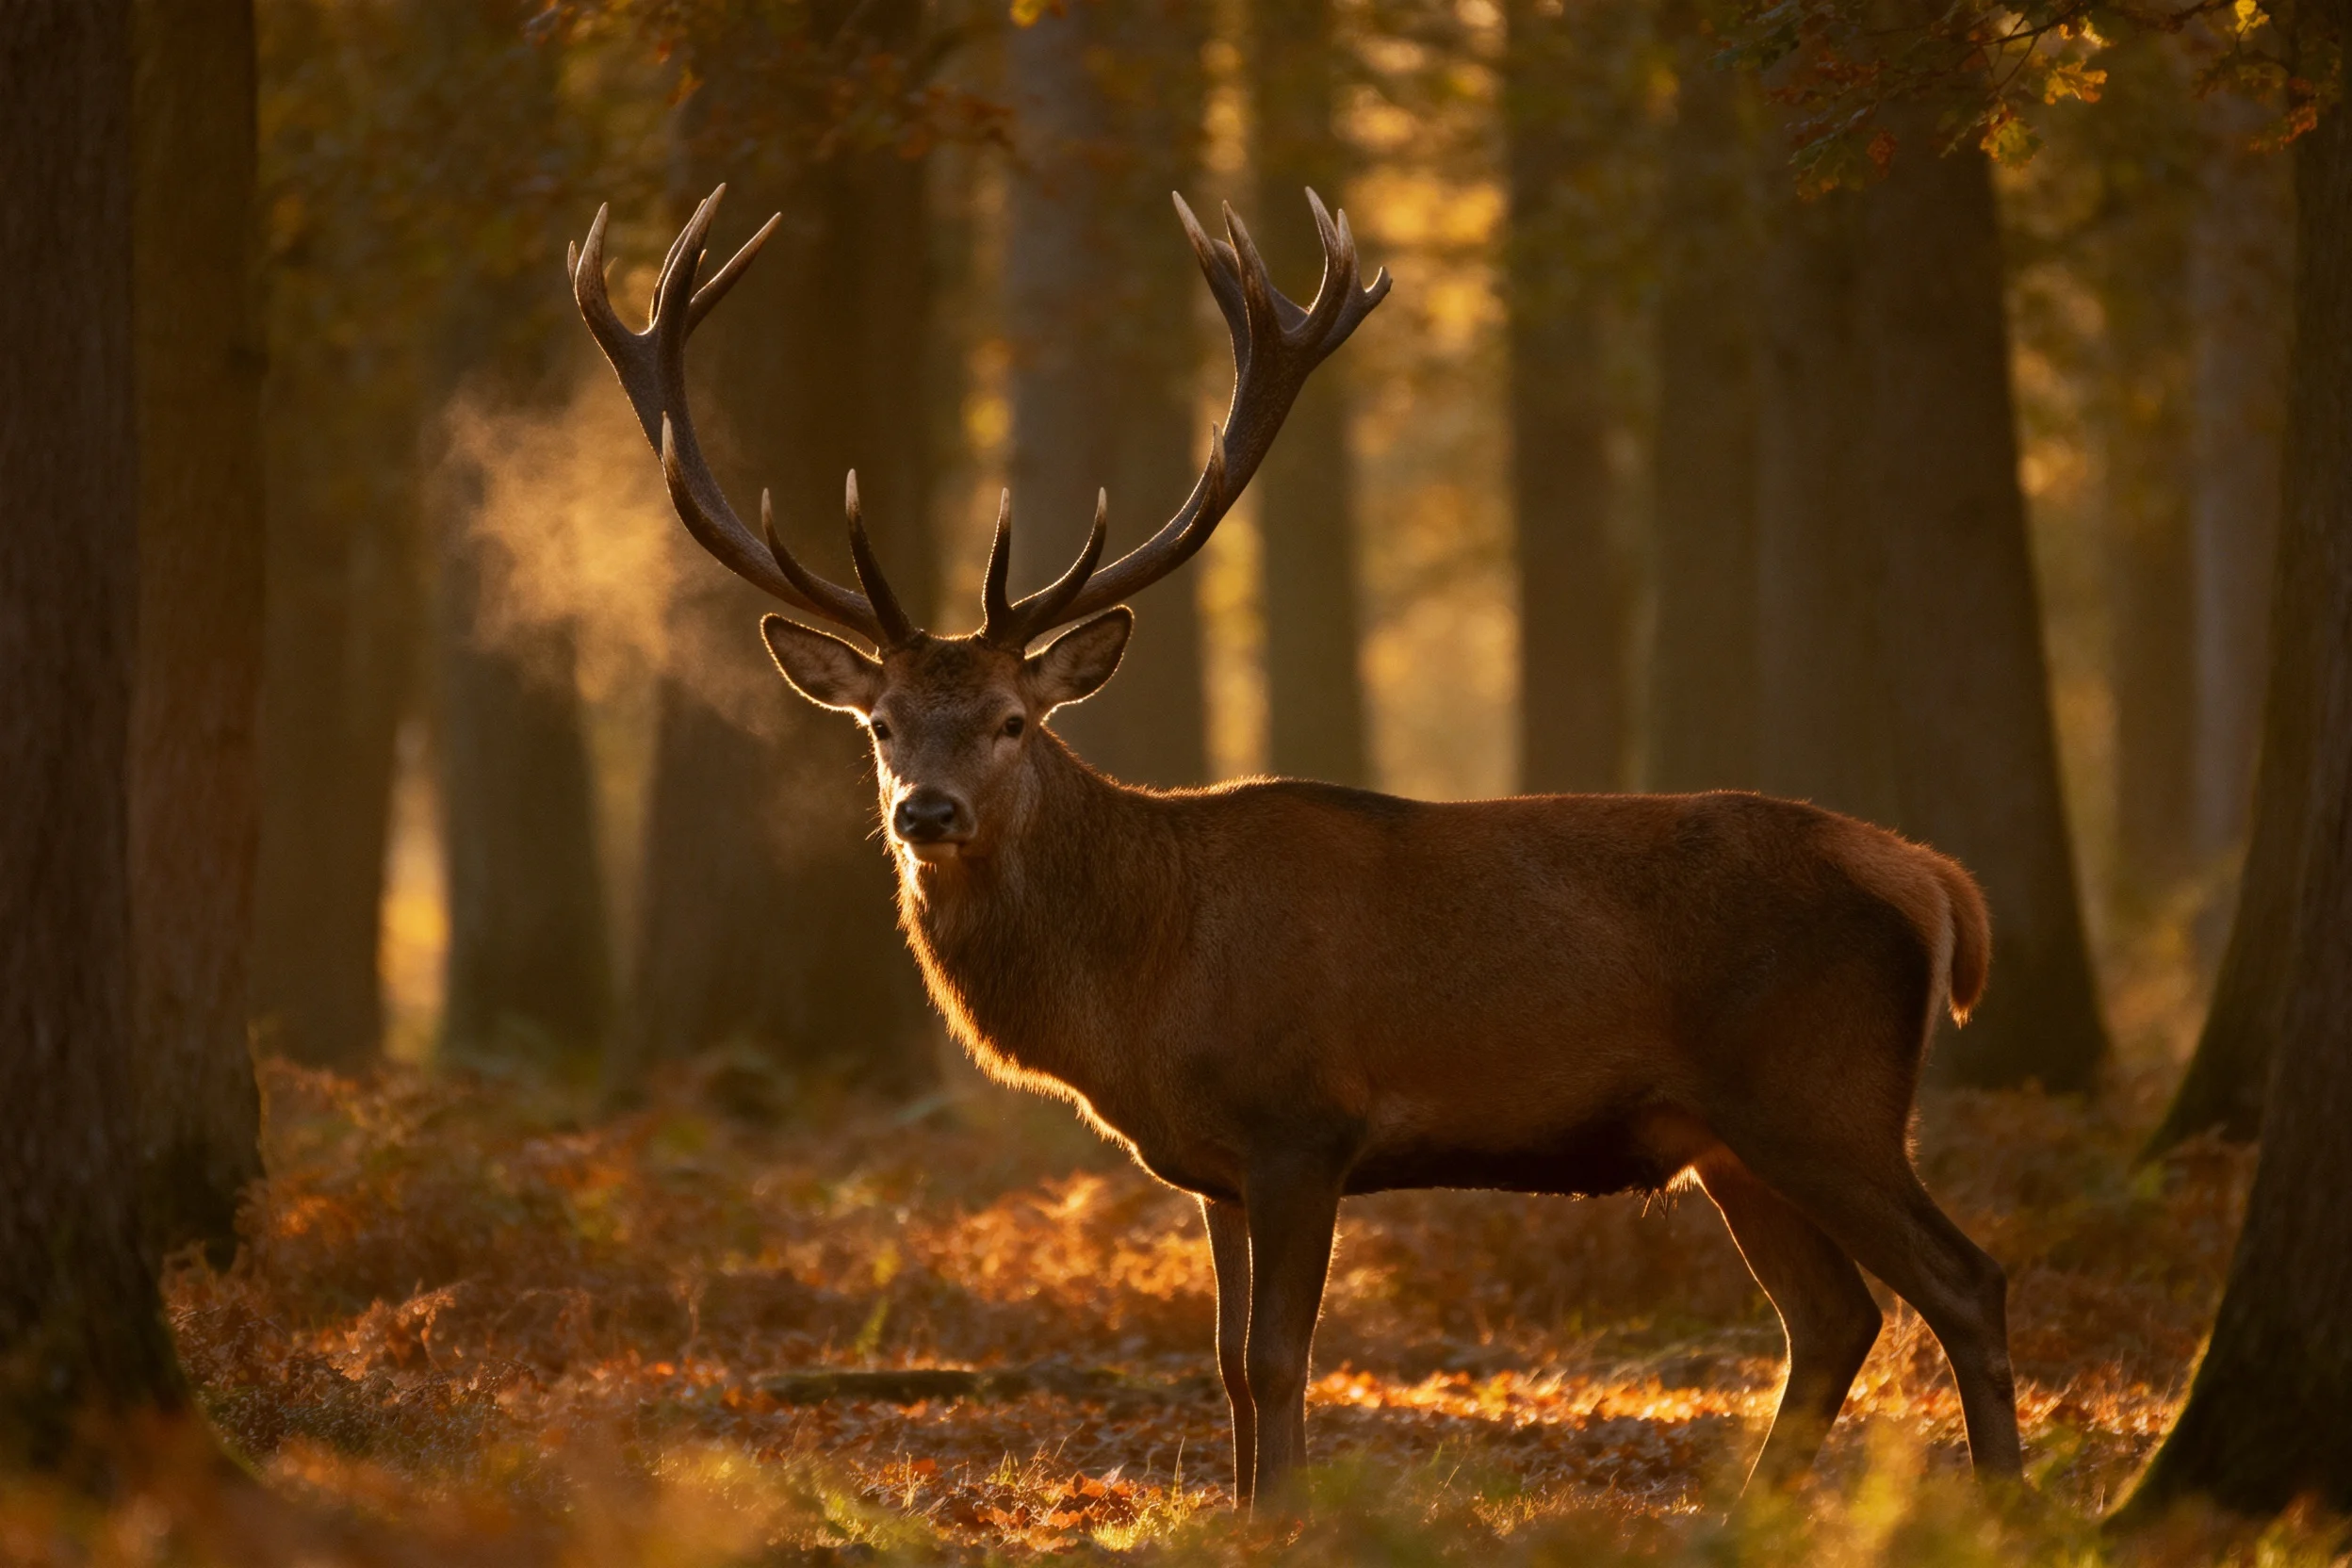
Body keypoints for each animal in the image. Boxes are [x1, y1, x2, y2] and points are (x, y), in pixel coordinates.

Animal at [568, 186, 2023, 1510]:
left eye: (1010, 721)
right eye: (879, 725)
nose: (927, 812)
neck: (1139, 986)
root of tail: (1933, 878)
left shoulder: (1303, 1123)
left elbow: (1279, 1355)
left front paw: (1290, 1516)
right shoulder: (1211, 1164)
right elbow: (1223, 1358)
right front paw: (1244, 1507)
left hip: (1820, 1092)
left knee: (1965, 1278)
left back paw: (2005, 1500)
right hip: (1727, 1136)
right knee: (1833, 1317)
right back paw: (1749, 1515)